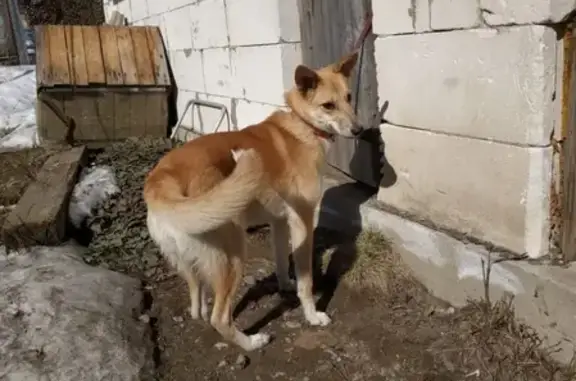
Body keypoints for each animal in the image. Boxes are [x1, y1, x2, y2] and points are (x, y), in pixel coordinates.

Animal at [143, 51, 360, 350]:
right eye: (328, 105)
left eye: (349, 97)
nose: (360, 130)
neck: (301, 125)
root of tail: (160, 178)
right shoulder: (303, 222)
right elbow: (306, 280)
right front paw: (312, 315)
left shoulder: (279, 222)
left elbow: (281, 261)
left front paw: (285, 286)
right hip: (234, 255)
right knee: (219, 318)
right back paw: (252, 342)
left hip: (187, 264)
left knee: (198, 303)